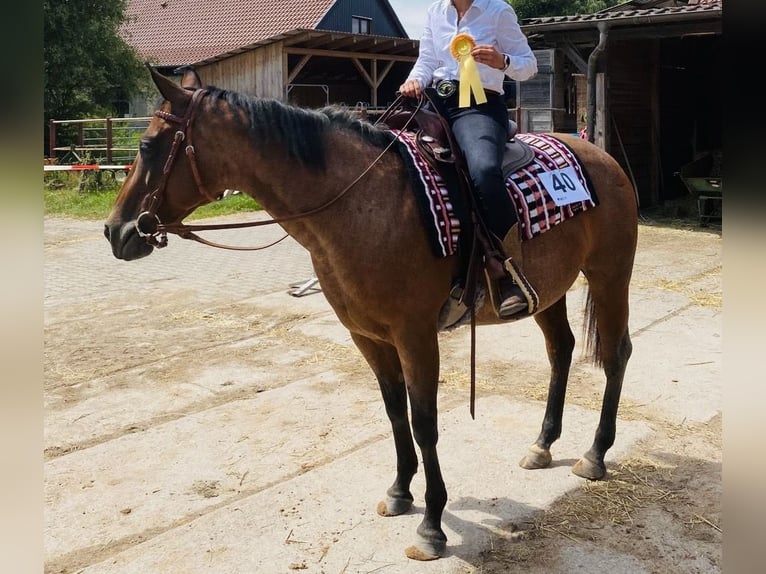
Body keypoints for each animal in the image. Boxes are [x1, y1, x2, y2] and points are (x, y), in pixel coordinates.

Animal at [104, 67, 637, 561]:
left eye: (149, 145)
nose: (115, 231)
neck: (361, 204)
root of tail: (603, 156)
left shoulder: (415, 336)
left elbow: (424, 423)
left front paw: (432, 526)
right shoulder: (369, 337)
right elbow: (394, 411)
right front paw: (400, 492)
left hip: (609, 276)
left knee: (616, 354)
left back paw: (594, 454)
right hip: (548, 291)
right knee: (562, 350)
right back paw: (542, 444)